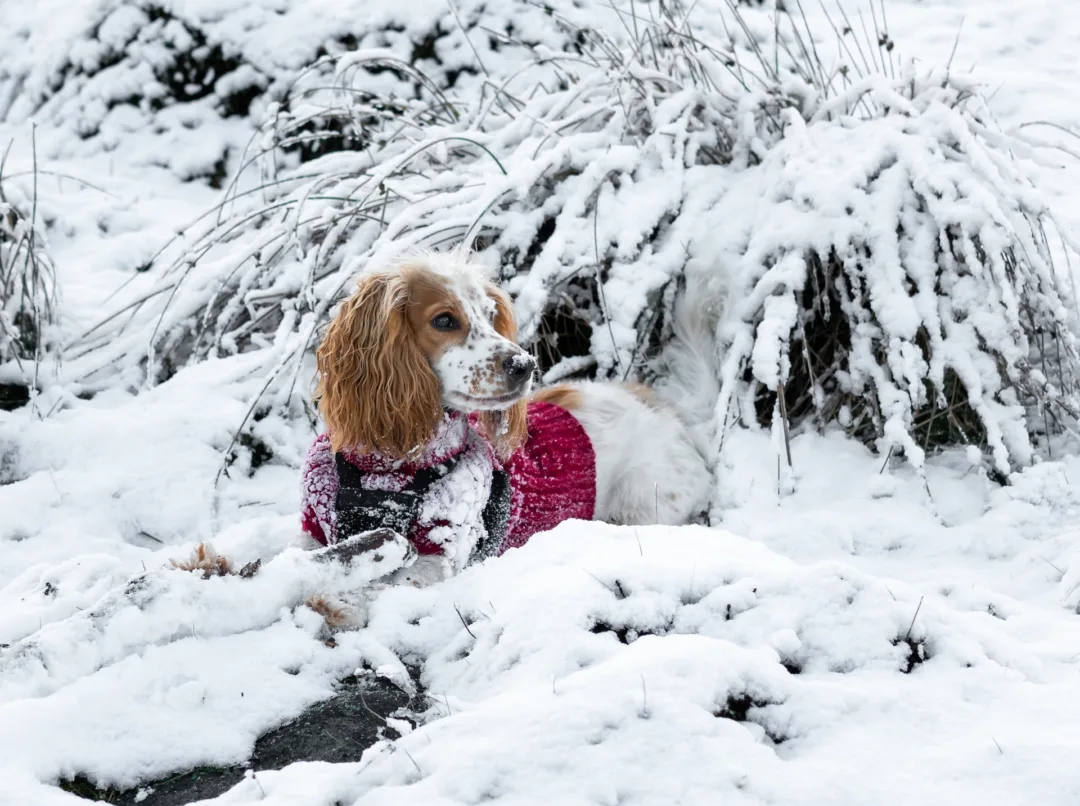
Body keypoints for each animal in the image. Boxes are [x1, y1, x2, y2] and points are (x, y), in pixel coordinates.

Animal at [300, 248, 712, 579]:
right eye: (444, 320)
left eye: (490, 314)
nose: (524, 364)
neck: (389, 467)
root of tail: (661, 405)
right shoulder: (313, 533)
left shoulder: (434, 560)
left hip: (644, 505)